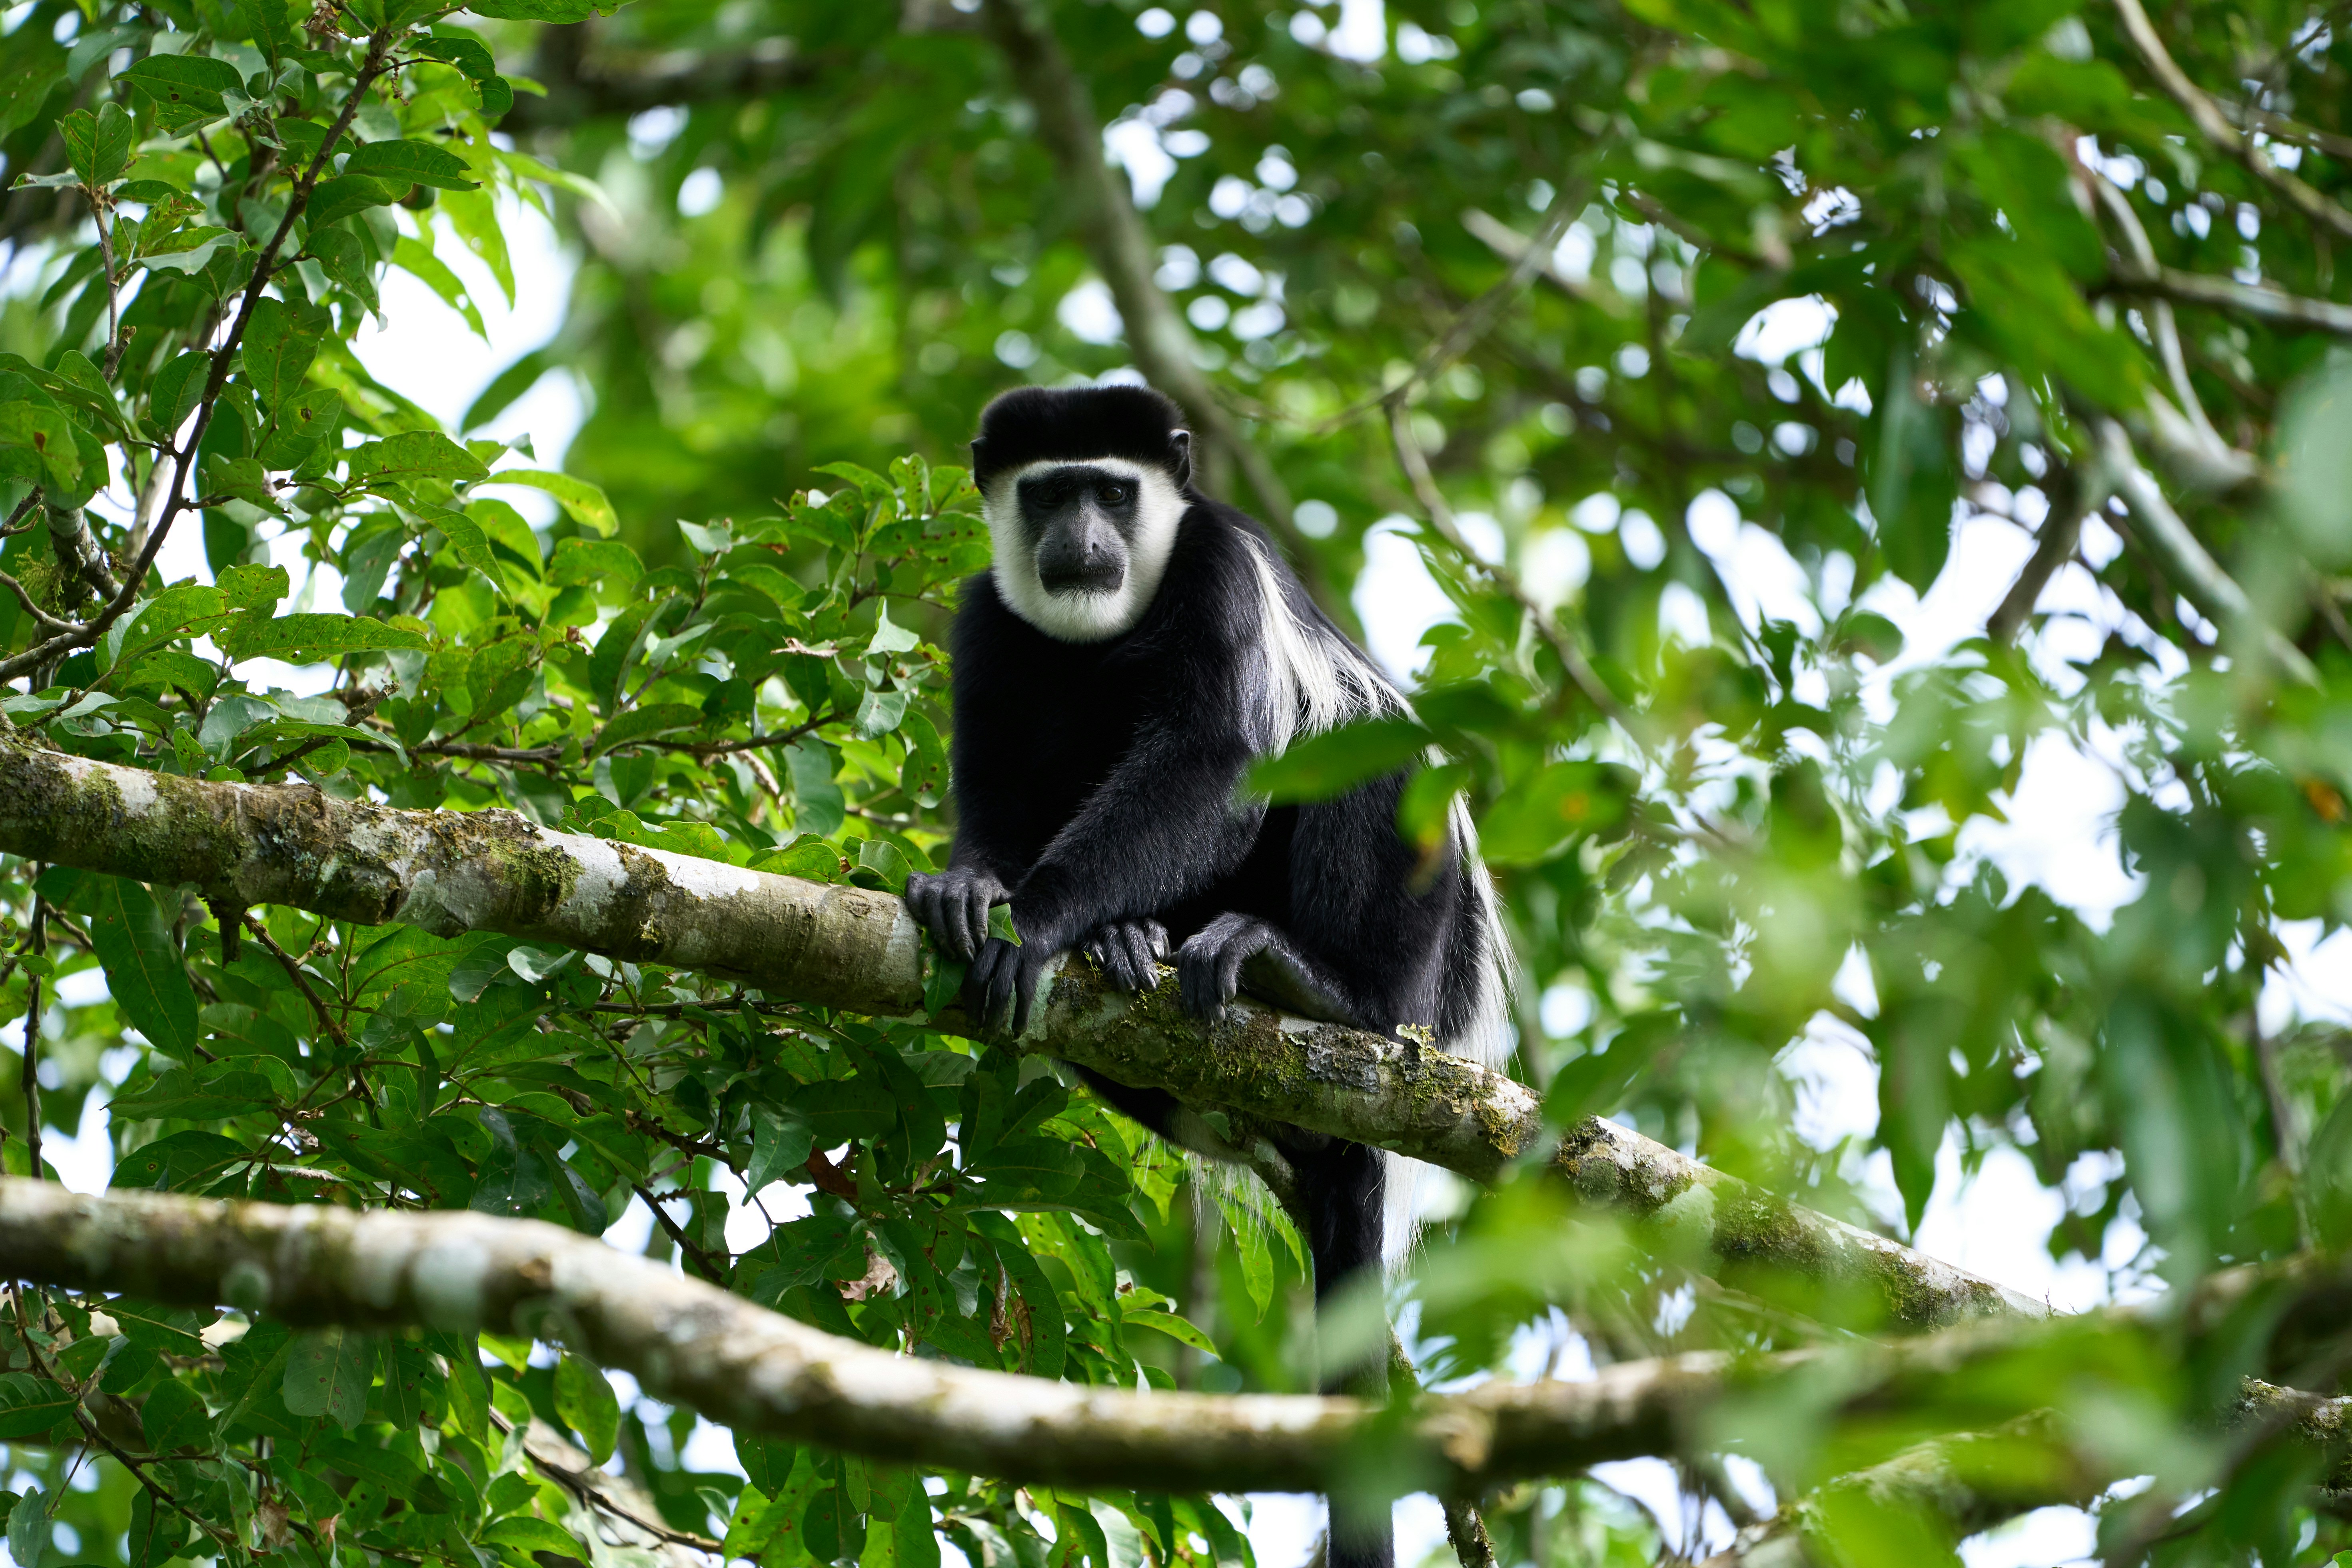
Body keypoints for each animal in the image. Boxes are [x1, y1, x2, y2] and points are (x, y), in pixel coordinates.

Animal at [905, 384, 1508, 1568]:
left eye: (1110, 490)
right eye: (1047, 492)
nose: (1079, 541)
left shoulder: (1217, 563)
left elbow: (1218, 753)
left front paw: (1037, 921)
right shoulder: (987, 619)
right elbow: (995, 791)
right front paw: (970, 891)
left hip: (1417, 962)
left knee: (1361, 748)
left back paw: (1313, 986)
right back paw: (1135, 940)